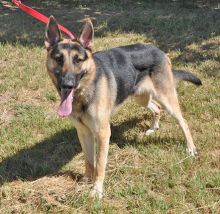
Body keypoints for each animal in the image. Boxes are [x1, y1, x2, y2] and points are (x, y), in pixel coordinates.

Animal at [45, 16, 203, 197]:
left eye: (78, 60)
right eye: (59, 59)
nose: (68, 84)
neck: (85, 91)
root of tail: (160, 51)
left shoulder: (103, 133)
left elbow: (100, 163)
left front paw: (97, 190)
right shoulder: (84, 132)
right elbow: (89, 161)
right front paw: (86, 181)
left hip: (166, 99)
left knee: (183, 122)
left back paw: (190, 148)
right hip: (141, 97)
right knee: (156, 108)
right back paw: (153, 128)